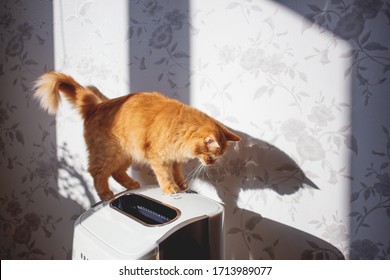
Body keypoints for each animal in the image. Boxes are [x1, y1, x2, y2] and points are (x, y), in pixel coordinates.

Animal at [33, 71, 239, 200]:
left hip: (125, 155)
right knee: (97, 173)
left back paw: (131, 184)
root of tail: (96, 105)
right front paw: (171, 189)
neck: (180, 126)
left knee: (116, 172)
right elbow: (165, 176)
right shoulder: (159, 158)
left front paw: (182, 186)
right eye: (212, 154)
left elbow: (177, 174)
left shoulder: (174, 160)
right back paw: (105, 194)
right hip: (108, 153)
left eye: (218, 156)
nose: (211, 163)